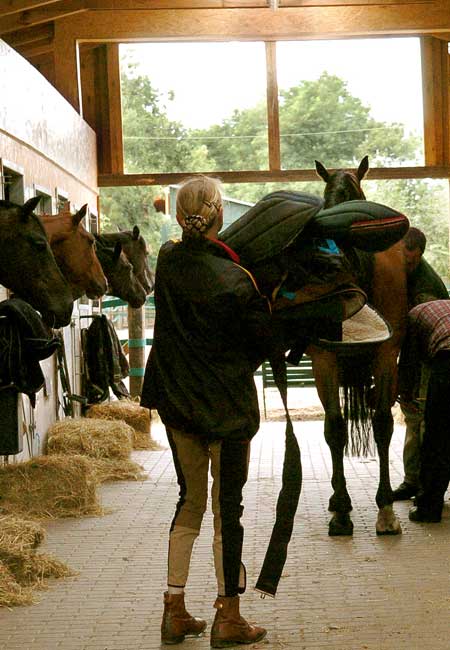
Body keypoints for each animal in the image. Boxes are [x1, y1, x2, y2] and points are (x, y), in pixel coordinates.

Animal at [312, 154, 410, 536]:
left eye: (355, 197)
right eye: (325, 202)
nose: (329, 262)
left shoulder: (386, 356)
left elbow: (382, 424)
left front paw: (386, 509)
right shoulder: (324, 359)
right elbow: (334, 429)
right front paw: (341, 510)